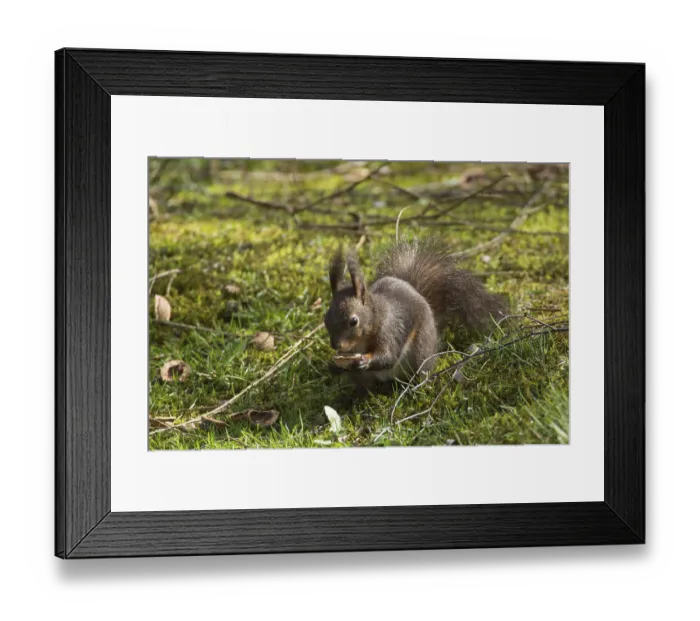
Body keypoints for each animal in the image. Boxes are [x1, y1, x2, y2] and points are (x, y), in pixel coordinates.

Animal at [324, 237, 508, 391]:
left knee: (420, 371)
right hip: (363, 377)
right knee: (367, 387)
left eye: (353, 321)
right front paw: (333, 366)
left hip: (420, 349)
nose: (336, 345)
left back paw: (416, 386)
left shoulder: (390, 329)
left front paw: (365, 360)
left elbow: (388, 356)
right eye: (325, 319)